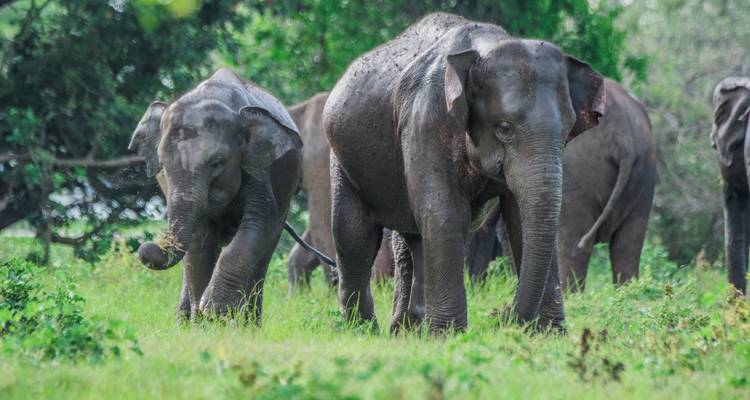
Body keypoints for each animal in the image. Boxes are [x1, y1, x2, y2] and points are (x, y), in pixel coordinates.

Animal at [128, 68, 303, 322]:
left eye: (217, 162)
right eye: (163, 165)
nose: (146, 247)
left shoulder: (260, 169)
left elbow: (259, 224)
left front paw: (217, 310)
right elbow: (200, 241)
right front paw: (206, 321)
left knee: (265, 253)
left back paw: (249, 323)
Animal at [323, 13, 605, 333]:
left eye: (568, 129)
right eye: (504, 127)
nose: (502, 317)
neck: (485, 47)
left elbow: (519, 218)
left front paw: (550, 334)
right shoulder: (425, 120)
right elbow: (445, 213)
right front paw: (448, 335)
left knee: (411, 237)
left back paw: (407, 330)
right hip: (342, 158)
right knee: (354, 234)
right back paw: (363, 329)